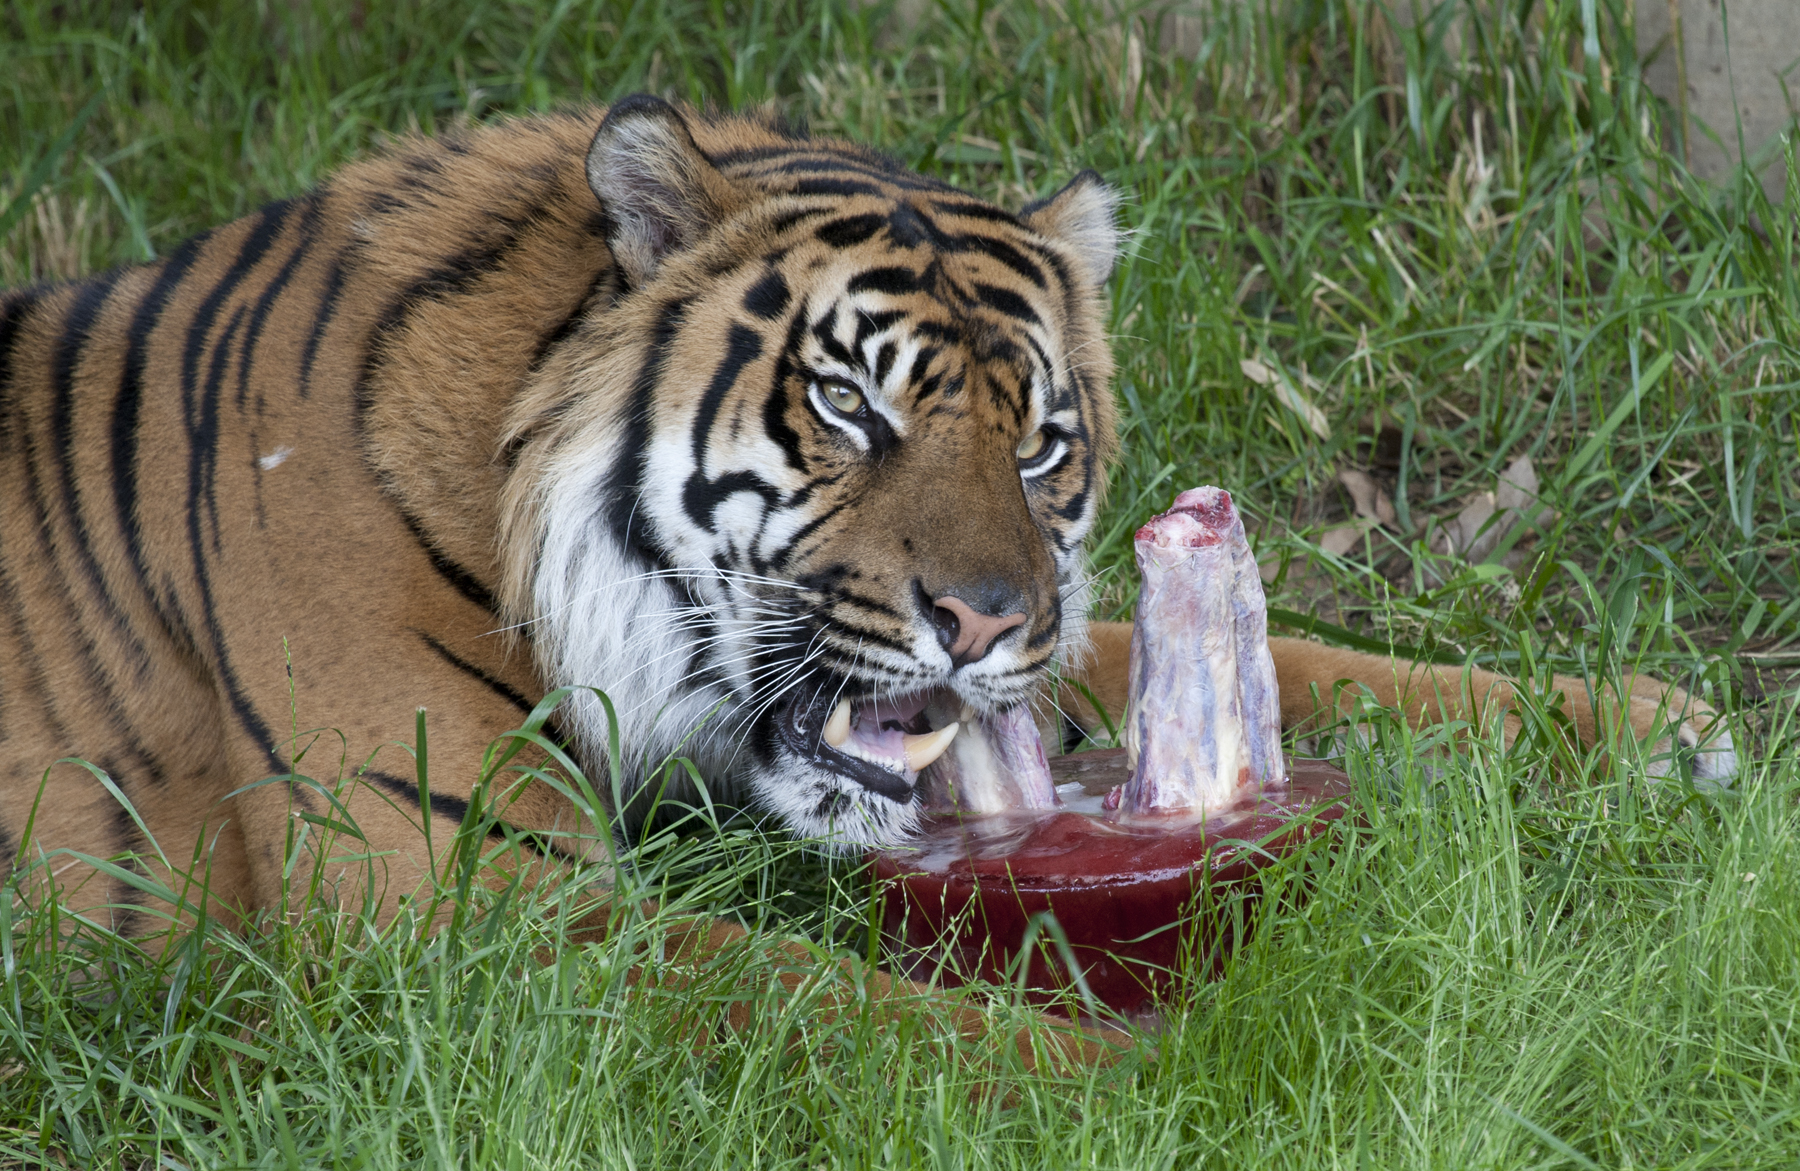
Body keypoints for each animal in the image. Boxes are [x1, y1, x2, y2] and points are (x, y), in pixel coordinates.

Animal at [0, 96, 1735, 964]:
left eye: (1039, 441)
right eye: (849, 408)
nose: (986, 620)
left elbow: (1316, 665)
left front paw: (1654, 727)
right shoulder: (471, 904)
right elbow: (844, 1008)